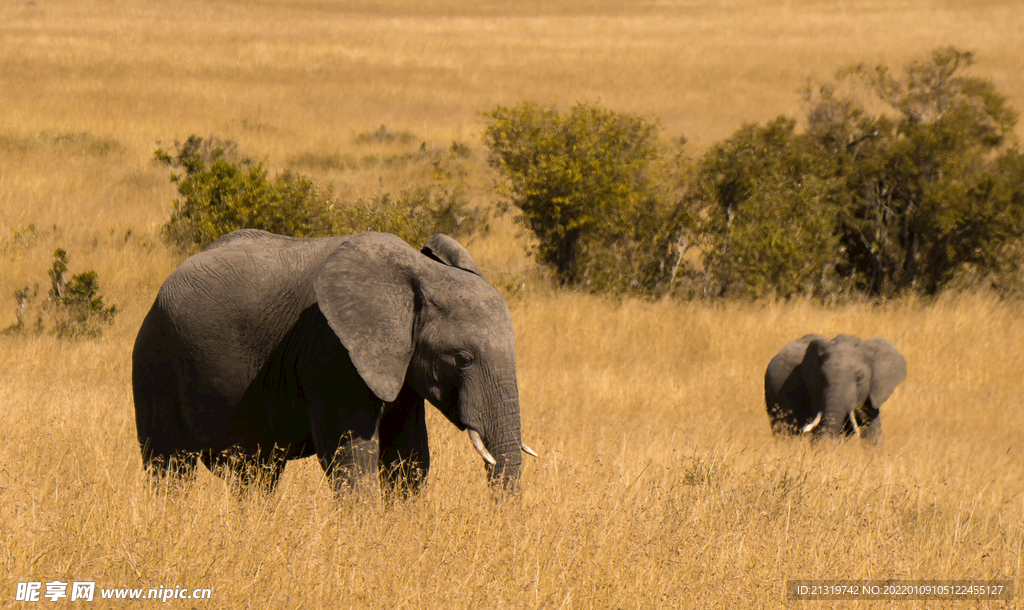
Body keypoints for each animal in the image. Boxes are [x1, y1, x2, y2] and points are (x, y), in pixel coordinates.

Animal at [133, 226, 536, 493]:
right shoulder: (331, 352)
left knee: (258, 474)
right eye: (463, 359)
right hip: (155, 358)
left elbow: (408, 459)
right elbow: (352, 458)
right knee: (169, 467)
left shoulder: (399, 361)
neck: (419, 275)